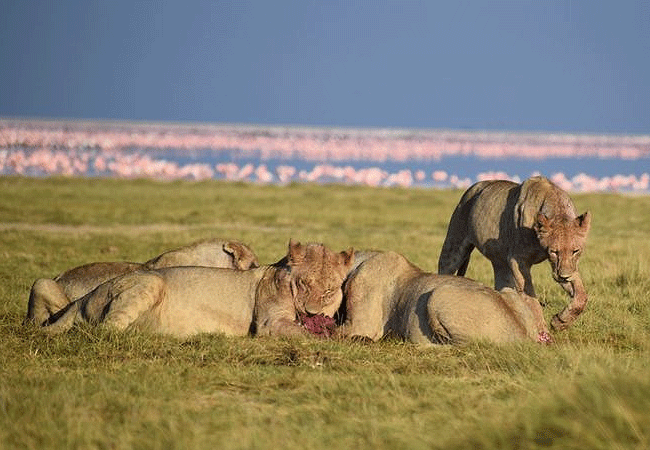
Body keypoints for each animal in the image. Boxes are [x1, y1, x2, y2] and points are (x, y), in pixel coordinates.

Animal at [436, 176, 588, 330]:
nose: (564, 276)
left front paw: (560, 322)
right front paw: (542, 331)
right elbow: (531, 299)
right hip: (454, 248)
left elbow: (581, 296)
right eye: (554, 252)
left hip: (500, 262)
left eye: (575, 251)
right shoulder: (518, 260)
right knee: (444, 271)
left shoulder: (568, 267)